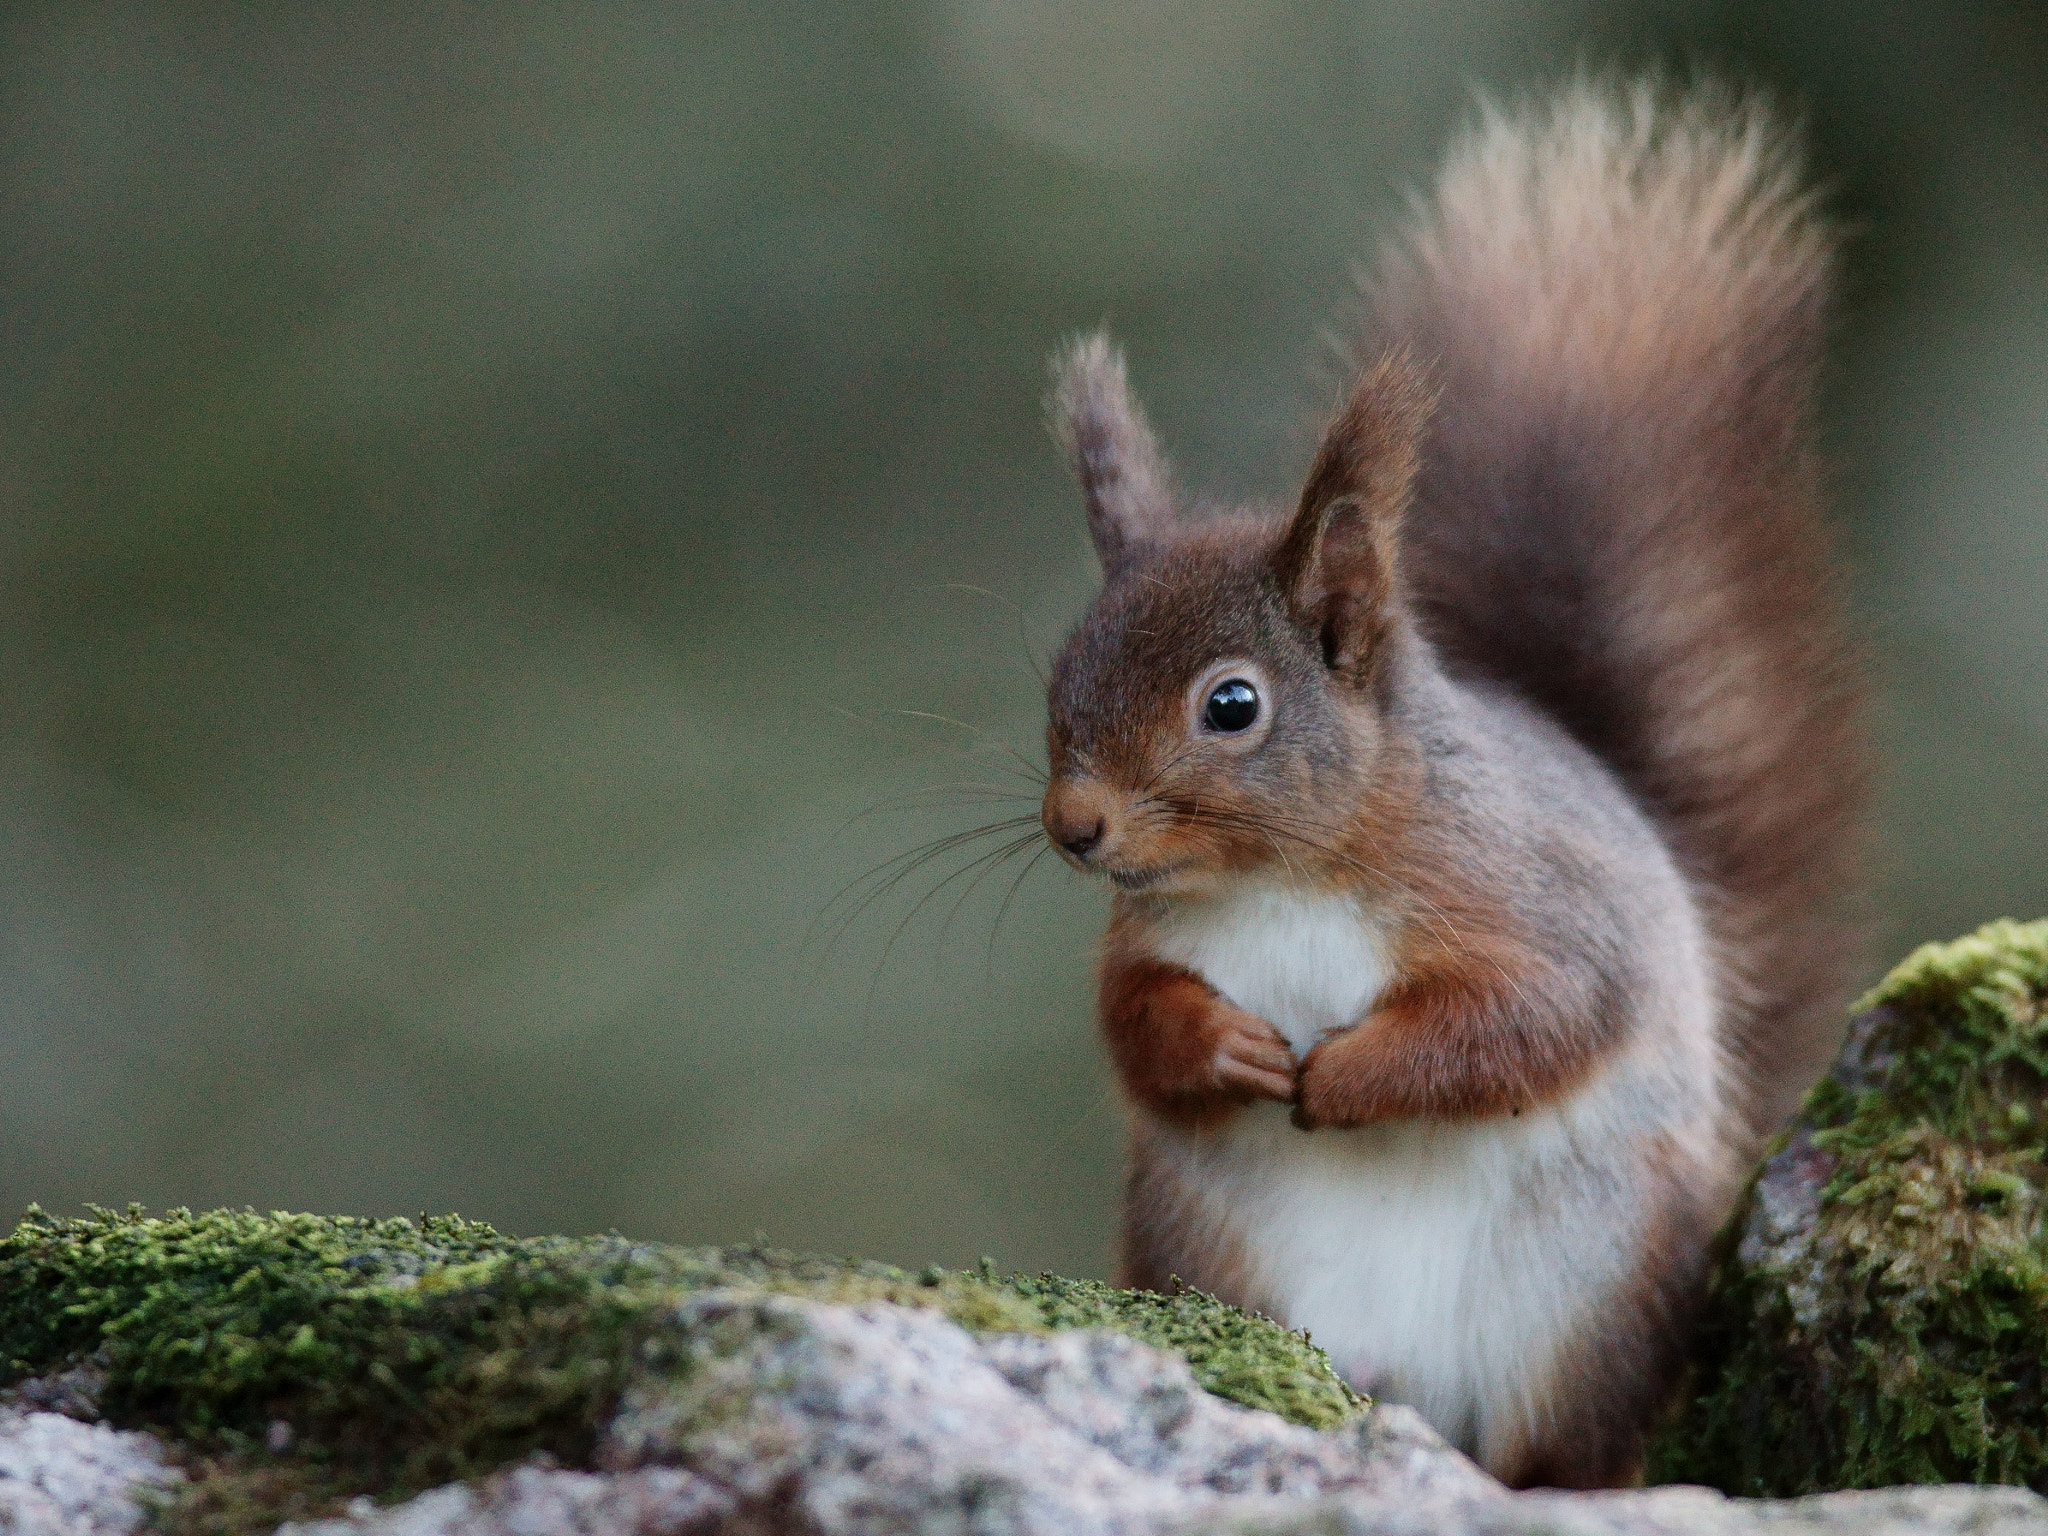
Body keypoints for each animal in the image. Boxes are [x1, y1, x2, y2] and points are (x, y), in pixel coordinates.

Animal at [1040, 81, 1875, 1490]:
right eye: (1058, 668)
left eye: (1230, 705)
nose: (1073, 826)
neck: (1284, 877)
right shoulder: (1141, 939)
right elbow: (1133, 1030)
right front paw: (1228, 1047)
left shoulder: (1531, 899)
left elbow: (1531, 1017)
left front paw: (1340, 1078)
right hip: (1213, 1257)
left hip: (1589, 1288)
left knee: (1559, 1448)